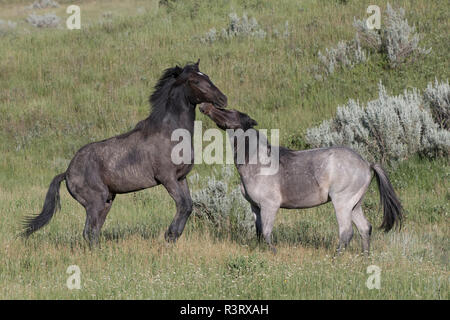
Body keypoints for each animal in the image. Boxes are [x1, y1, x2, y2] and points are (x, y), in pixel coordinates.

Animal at [23, 60, 229, 245]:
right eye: (195, 81)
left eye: (207, 76)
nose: (223, 99)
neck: (170, 133)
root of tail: (66, 172)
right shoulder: (167, 178)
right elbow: (183, 205)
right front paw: (169, 235)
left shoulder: (181, 178)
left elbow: (188, 205)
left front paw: (173, 237)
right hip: (95, 202)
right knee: (89, 231)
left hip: (108, 200)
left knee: (94, 232)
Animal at [199, 104, 402, 254]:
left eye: (229, 112)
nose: (205, 106)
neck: (257, 161)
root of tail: (367, 164)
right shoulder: (255, 206)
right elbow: (258, 232)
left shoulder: (270, 205)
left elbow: (266, 232)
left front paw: (274, 252)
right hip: (355, 204)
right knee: (365, 228)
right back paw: (364, 256)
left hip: (342, 202)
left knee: (347, 232)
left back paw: (336, 257)